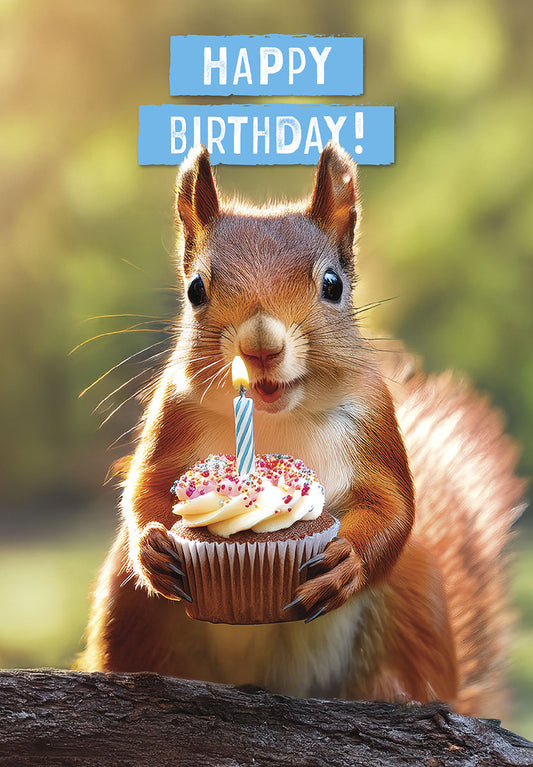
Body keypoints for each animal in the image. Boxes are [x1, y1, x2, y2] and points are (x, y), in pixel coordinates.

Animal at [78, 142, 525, 716]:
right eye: (196, 288)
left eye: (332, 285)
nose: (260, 346)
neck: (275, 417)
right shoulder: (172, 412)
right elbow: (145, 487)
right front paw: (153, 545)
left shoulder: (373, 419)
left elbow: (394, 506)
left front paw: (346, 562)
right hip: (125, 608)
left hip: (417, 595)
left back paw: (399, 694)